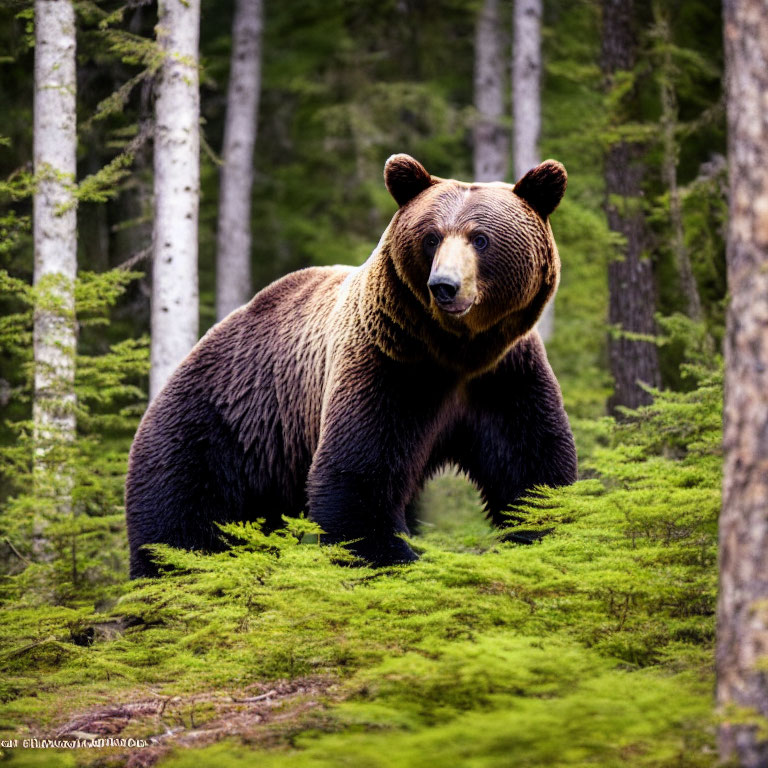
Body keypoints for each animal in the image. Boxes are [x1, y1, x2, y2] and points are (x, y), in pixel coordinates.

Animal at [126, 154, 576, 576]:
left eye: (480, 239)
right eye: (431, 237)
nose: (444, 286)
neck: (457, 351)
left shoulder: (505, 375)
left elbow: (532, 466)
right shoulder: (390, 363)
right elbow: (358, 474)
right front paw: (393, 557)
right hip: (219, 428)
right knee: (179, 519)